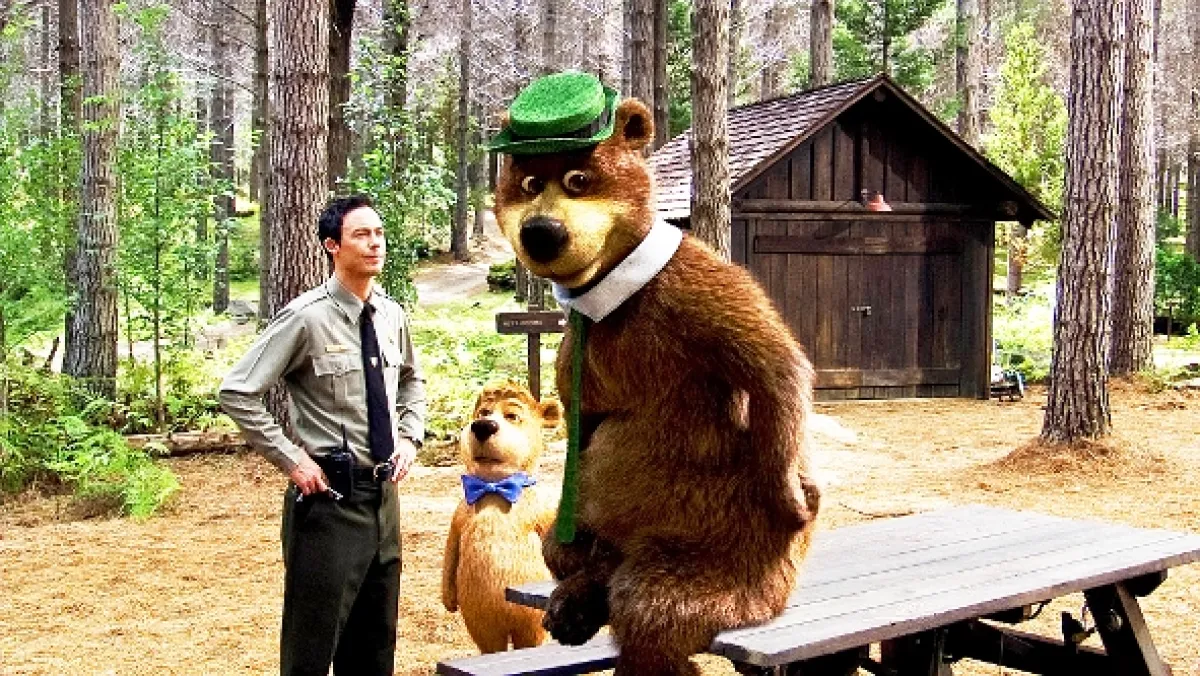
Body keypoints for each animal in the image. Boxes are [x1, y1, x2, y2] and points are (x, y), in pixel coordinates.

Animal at [441, 381, 564, 654]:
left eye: (512, 416)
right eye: (483, 412)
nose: (483, 426)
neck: (494, 488)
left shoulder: (544, 511)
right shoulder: (459, 515)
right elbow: (452, 548)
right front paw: (447, 599)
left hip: (528, 621)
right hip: (480, 621)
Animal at [488, 72, 821, 675]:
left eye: (578, 179)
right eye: (527, 183)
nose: (542, 231)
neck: (609, 297)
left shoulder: (694, 291)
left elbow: (774, 362)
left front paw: (793, 495)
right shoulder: (577, 347)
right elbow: (585, 420)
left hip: (717, 550)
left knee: (657, 607)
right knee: (573, 548)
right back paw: (575, 600)